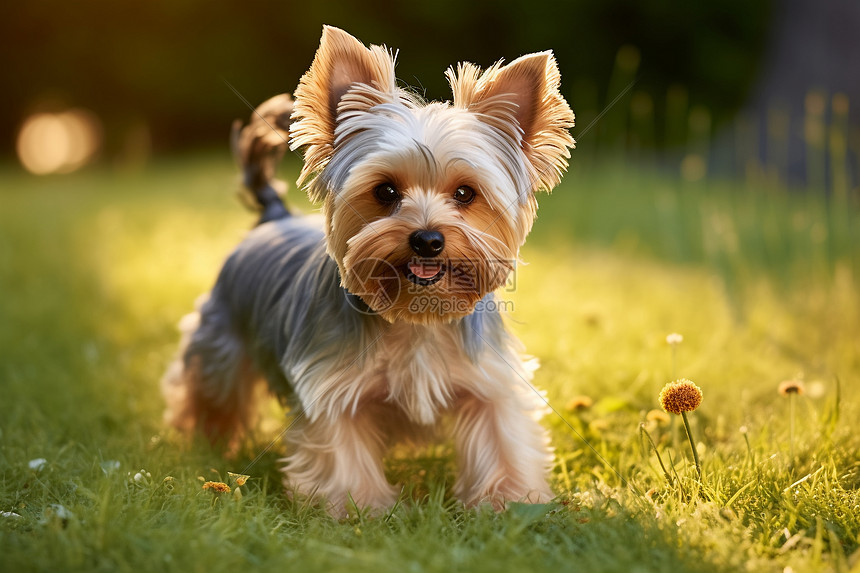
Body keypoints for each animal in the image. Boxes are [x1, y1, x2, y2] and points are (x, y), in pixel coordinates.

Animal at [163, 25, 576, 512]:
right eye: (385, 191)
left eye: (465, 193)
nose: (427, 240)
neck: (416, 317)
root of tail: (275, 215)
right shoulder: (331, 388)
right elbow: (342, 450)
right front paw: (356, 509)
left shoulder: (490, 380)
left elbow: (502, 437)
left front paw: (511, 503)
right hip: (221, 339)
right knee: (210, 389)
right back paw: (199, 443)